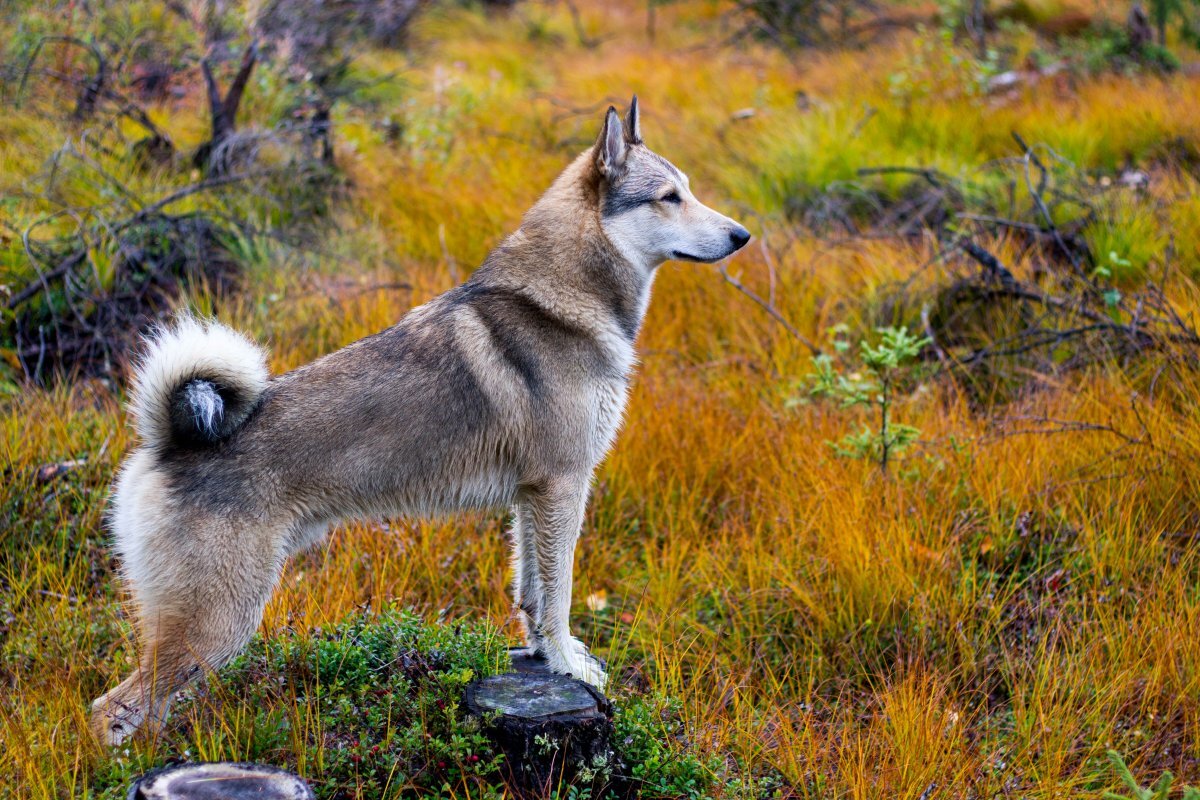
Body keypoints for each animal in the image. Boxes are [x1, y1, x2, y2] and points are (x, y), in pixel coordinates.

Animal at [88, 98, 748, 743]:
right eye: (669, 196)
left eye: (688, 189)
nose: (742, 235)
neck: (560, 303)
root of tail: (167, 443)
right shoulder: (563, 486)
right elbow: (558, 597)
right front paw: (568, 666)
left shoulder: (533, 498)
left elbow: (532, 597)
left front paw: (544, 657)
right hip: (218, 621)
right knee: (111, 709)